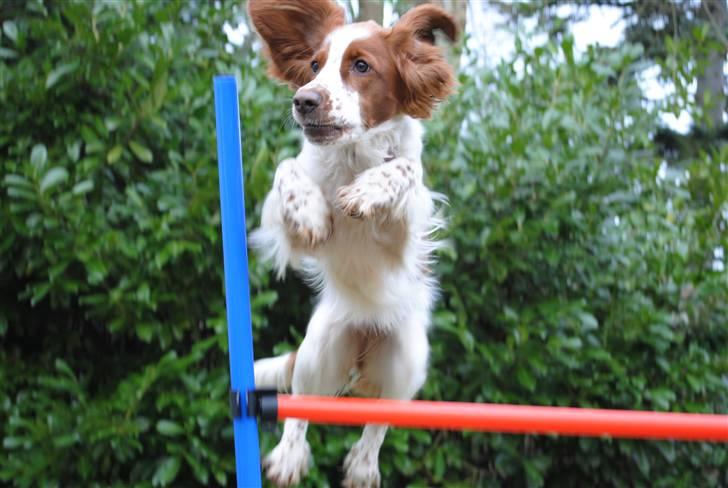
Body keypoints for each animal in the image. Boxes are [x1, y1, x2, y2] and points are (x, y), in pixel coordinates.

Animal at [247, 1, 458, 486]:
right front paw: (311, 211)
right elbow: (286, 167)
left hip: (407, 361)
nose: (304, 101)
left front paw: (367, 191)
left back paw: (363, 466)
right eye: (313, 65)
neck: (352, 156)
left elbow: (406, 170)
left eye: (361, 66)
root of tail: (365, 339)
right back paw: (288, 458)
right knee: (301, 407)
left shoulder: (403, 241)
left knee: (381, 418)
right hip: (319, 350)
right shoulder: (288, 234)